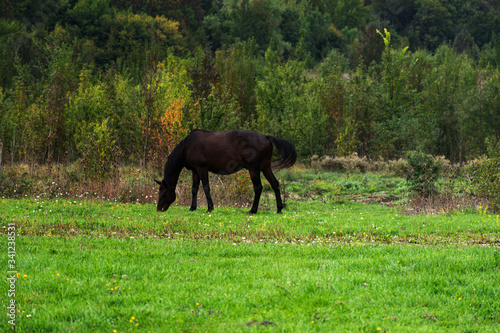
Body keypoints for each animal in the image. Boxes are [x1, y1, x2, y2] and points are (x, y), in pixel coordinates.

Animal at [155, 130, 296, 213]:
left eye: (163, 193)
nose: (159, 209)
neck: (187, 146)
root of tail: (266, 137)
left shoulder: (202, 169)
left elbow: (206, 188)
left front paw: (210, 208)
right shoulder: (195, 170)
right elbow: (194, 189)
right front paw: (192, 207)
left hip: (254, 169)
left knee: (258, 187)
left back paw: (253, 210)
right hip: (265, 167)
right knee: (275, 184)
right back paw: (279, 209)